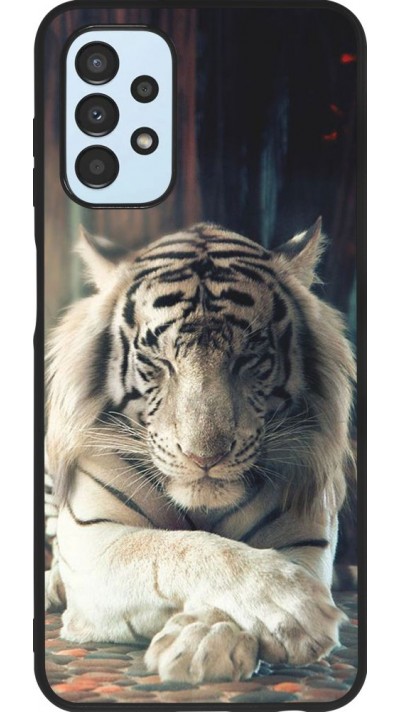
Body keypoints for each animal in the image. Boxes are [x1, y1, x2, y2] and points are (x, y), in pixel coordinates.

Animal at [45, 219, 355, 684]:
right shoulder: (94, 540)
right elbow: (178, 548)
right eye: (158, 361)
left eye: (249, 358)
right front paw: (291, 606)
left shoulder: (305, 540)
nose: (204, 457)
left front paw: (205, 640)